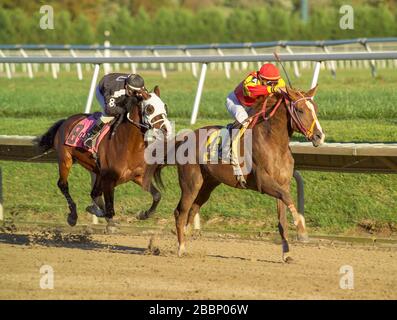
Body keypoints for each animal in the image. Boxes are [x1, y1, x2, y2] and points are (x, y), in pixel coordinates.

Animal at [39, 87, 170, 228]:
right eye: (150, 108)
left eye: (165, 107)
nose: (166, 129)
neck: (128, 145)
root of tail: (66, 121)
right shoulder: (108, 179)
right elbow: (109, 208)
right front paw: (105, 218)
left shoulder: (137, 176)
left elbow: (157, 195)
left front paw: (143, 214)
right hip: (65, 159)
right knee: (63, 184)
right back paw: (73, 216)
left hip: (96, 170)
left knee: (94, 193)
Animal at [144, 86, 324, 262]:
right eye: (300, 110)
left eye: (315, 108)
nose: (319, 136)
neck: (274, 143)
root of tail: (184, 138)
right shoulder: (264, 182)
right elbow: (287, 198)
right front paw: (301, 228)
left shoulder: (282, 184)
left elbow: (282, 218)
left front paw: (287, 253)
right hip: (191, 183)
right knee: (180, 212)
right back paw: (181, 247)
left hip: (208, 185)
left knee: (193, 209)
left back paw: (184, 235)